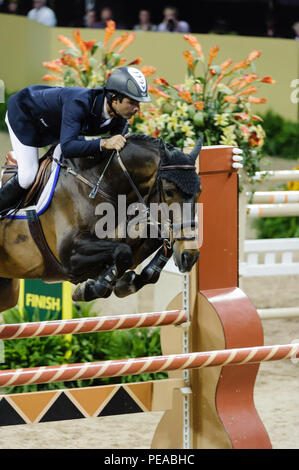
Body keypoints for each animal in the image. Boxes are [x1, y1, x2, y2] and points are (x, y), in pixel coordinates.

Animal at [0, 134, 204, 310]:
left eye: (199, 192)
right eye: (169, 191)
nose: (190, 256)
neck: (101, 185)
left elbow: (147, 246)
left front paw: (125, 282)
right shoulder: (69, 255)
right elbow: (123, 252)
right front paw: (92, 288)